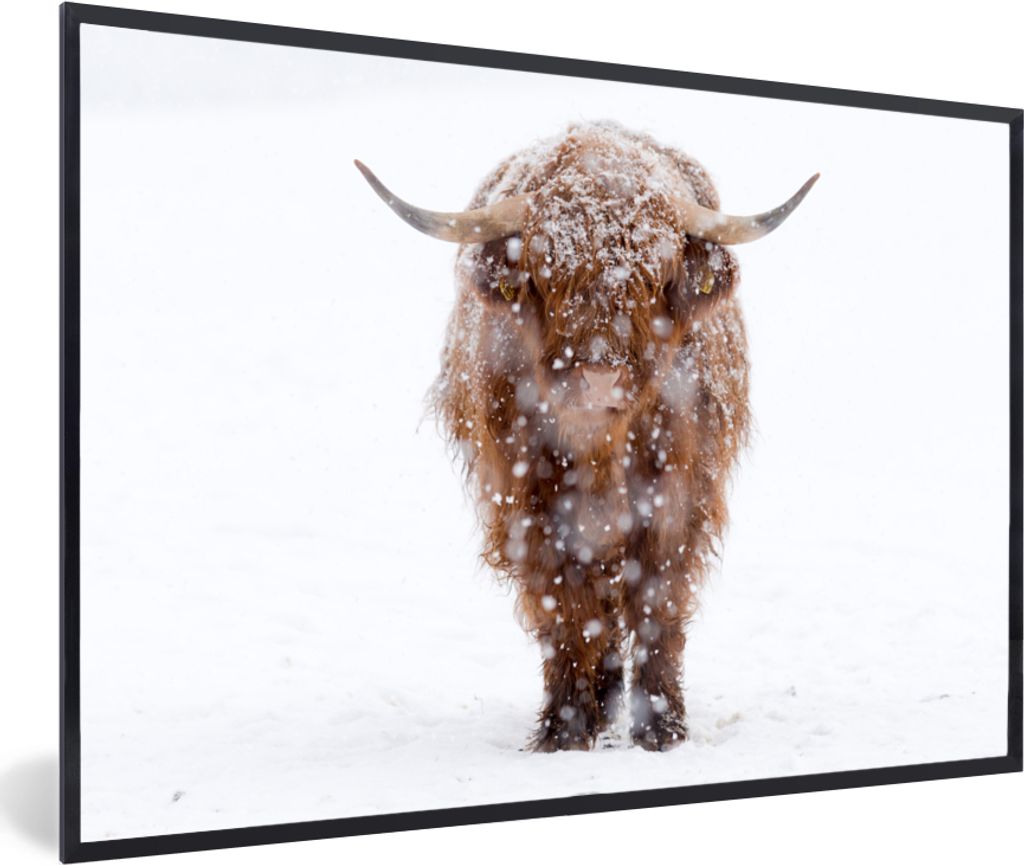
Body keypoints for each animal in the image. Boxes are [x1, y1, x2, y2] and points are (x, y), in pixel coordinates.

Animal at [355, 121, 816, 751]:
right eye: (549, 271)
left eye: (654, 274)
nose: (599, 376)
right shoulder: (527, 502)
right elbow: (565, 606)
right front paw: (565, 729)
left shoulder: (677, 493)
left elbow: (657, 596)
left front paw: (660, 728)